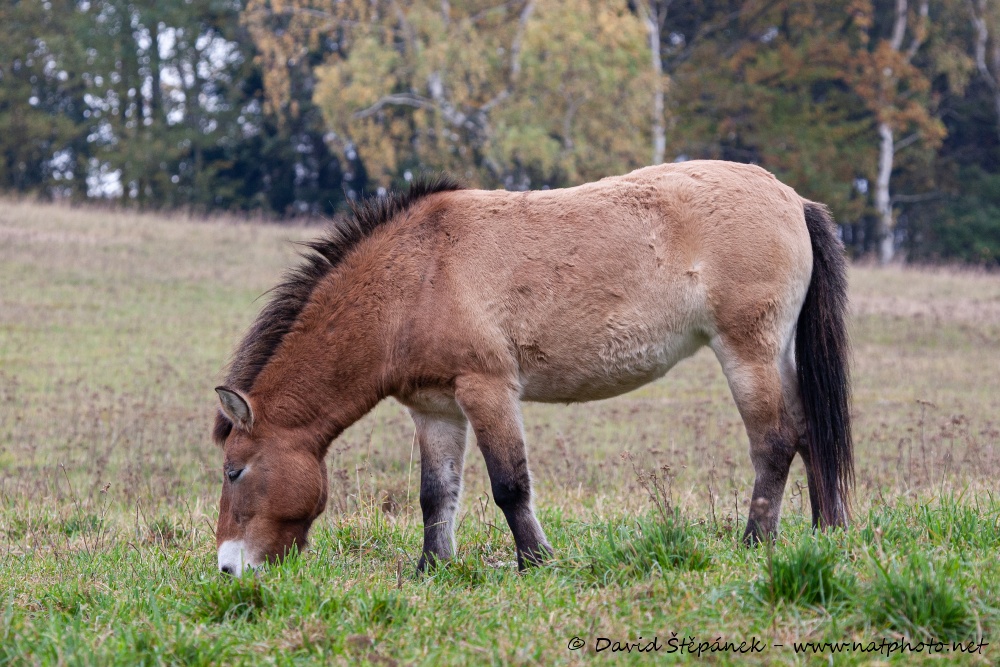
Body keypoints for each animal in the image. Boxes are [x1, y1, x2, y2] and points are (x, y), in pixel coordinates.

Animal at [211, 160, 852, 576]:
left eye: (234, 471)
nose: (227, 567)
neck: (415, 276)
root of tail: (792, 199)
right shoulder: (435, 409)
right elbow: (435, 494)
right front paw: (431, 570)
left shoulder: (487, 390)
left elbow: (509, 485)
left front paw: (536, 562)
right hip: (776, 355)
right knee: (810, 432)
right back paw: (826, 535)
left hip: (748, 352)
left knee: (775, 442)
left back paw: (755, 543)